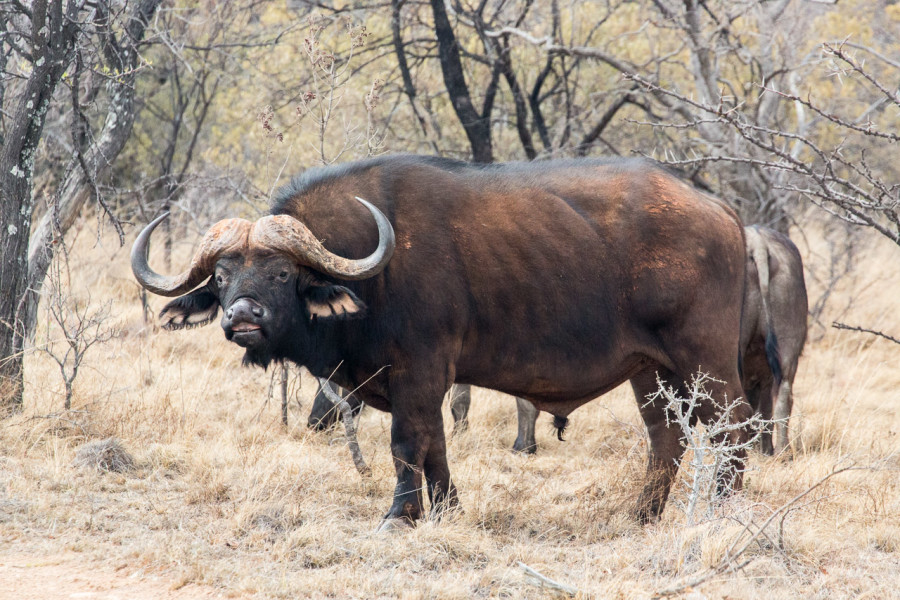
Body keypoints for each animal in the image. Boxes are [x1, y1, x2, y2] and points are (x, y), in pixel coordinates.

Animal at [134, 157, 748, 528]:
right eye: (221, 277)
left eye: (283, 273)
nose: (243, 319)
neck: (375, 269)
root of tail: (721, 211)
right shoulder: (425, 383)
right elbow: (436, 446)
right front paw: (446, 510)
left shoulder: (419, 370)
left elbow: (408, 444)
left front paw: (399, 517)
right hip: (649, 370)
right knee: (665, 437)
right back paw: (642, 515)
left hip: (707, 361)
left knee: (733, 425)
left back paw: (723, 510)